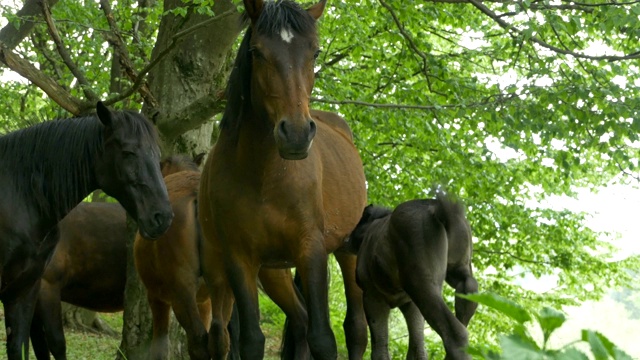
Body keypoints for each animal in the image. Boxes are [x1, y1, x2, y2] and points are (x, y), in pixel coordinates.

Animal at [198, 0, 368, 358]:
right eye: (257, 51)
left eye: (315, 52)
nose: (297, 133)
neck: (264, 177)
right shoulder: (240, 260)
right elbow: (251, 340)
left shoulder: (311, 250)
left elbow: (323, 338)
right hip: (273, 271)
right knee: (300, 320)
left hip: (346, 249)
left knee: (355, 328)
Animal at [348, 194, 478, 360]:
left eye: (360, 221)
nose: (347, 239)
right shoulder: (410, 304)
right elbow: (417, 347)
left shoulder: (372, 295)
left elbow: (380, 349)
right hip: (460, 273)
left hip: (421, 284)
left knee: (456, 332)